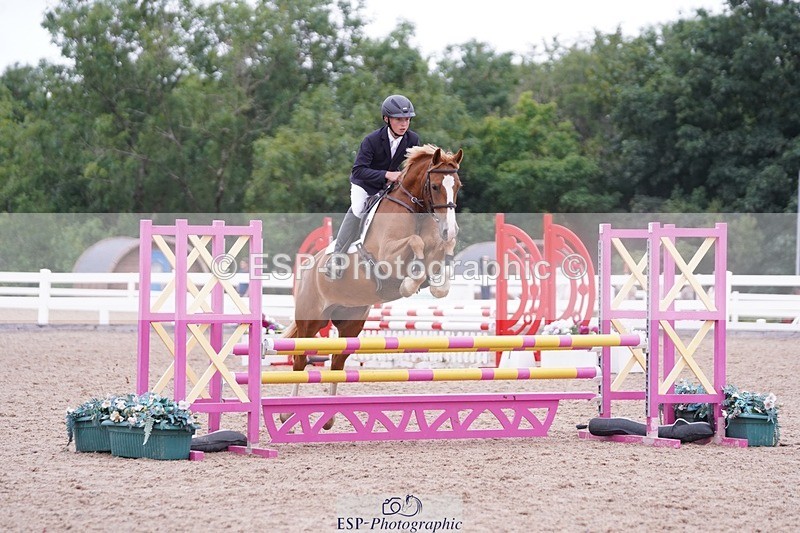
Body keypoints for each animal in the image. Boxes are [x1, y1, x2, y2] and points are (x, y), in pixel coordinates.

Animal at [280, 144, 463, 428]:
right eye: (434, 186)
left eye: (457, 186)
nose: (450, 229)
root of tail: (309, 268)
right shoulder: (387, 255)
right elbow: (415, 243)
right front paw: (409, 283)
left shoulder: (436, 247)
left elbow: (440, 254)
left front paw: (434, 282)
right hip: (311, 320)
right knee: (300, 358)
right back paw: (287, 412)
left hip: (351, 323)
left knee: (337, 364)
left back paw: (328, 418)